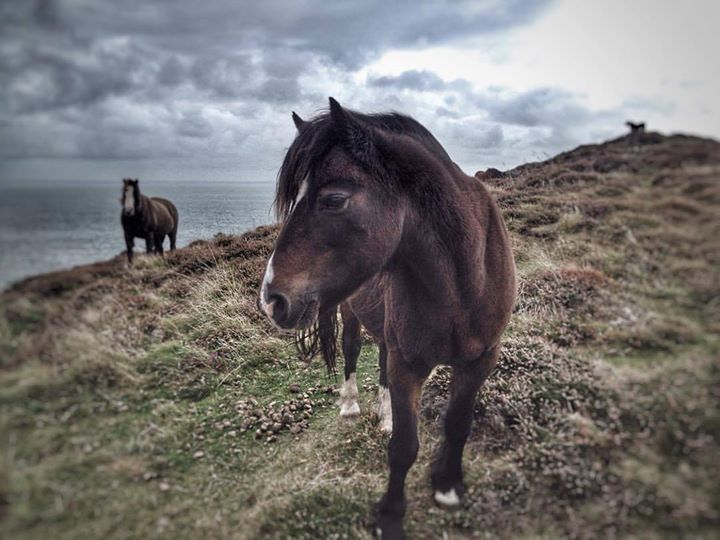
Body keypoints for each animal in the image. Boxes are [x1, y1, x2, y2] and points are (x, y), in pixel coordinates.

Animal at [258, 98, 516, 539]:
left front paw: (448, 487)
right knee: (350, 353)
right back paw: (352, 406)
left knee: (379, 361)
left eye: (334, 199)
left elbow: (458, 423)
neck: (462, 284)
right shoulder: (408, 365)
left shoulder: (480, 360)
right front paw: (391, 515)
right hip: (350, 314)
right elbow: (404, 448)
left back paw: (385, 415)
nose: (272, 299)